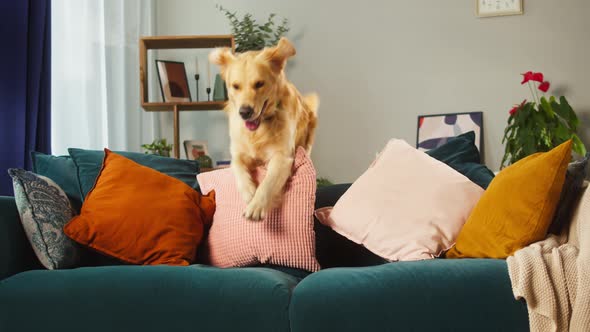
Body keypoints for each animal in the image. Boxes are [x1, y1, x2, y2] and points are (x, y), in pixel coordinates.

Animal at [209, 37, 320, 220]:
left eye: (259, 84)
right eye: (235, 86)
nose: (244, 112)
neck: (258, 130)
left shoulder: (283, 156)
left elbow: (268, 182)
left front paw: (256, 206)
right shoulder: (238, 153)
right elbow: (238, 168)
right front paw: (248, 192)